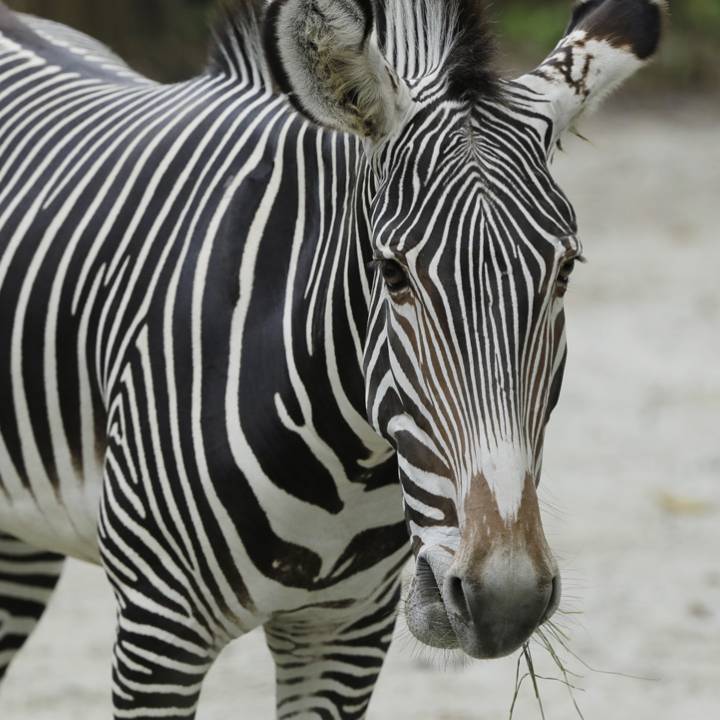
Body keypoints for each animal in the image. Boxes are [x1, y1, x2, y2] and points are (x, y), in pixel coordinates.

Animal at [0, 0, 664, 717]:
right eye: (392, 273)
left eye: (565, 271)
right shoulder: (159, 629)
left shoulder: (345, 633)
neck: (348, 474)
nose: (505, 601)